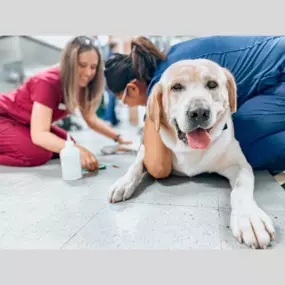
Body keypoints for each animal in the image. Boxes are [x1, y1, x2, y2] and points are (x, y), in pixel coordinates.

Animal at [106, 58, 272, 248]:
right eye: (176, 87)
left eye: (212, 84)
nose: (199, 112)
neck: (190, 150)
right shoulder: (146, 151)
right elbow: (135, 166)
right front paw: (123, 183)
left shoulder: (240, 165)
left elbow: (241, 191)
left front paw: (250, 218)